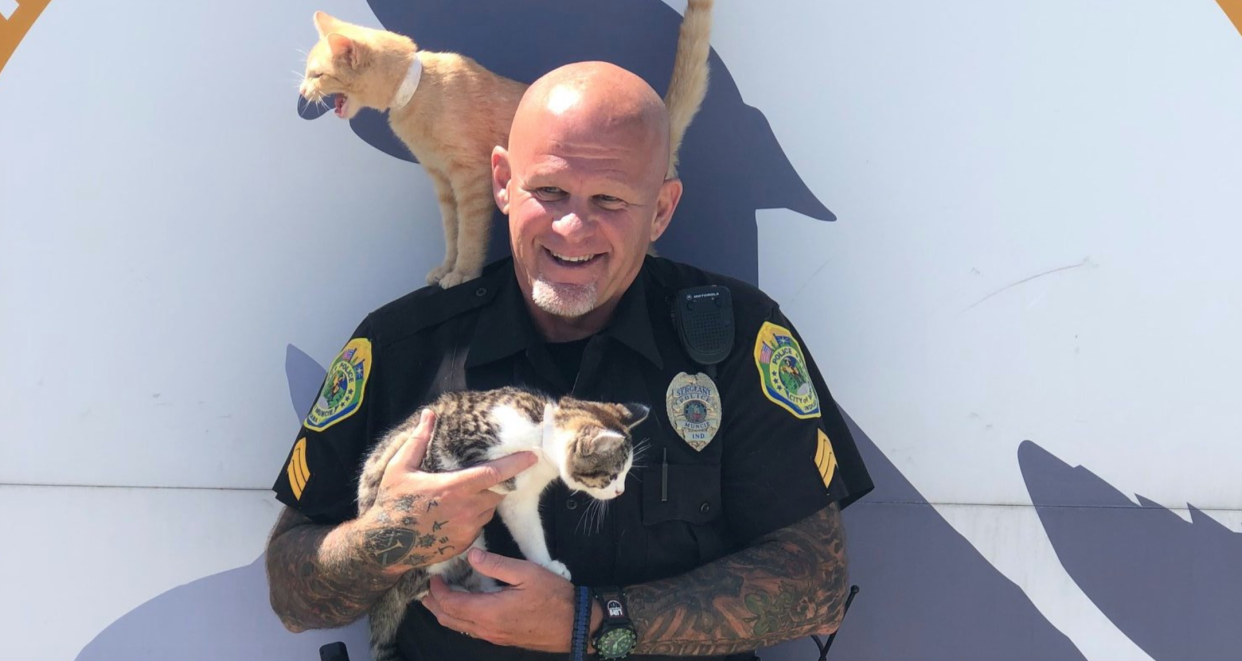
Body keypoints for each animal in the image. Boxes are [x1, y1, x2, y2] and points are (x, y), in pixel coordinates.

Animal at [294, 1, 715, 288]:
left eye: (317, 75)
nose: (301, 93)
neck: (418, 88)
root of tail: (662, 119)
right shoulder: (442, 182)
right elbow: (451, 232)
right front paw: (446, 267)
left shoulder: (470, 178)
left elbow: (469, 233)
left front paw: (463, 272)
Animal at [355, 387, 645, 661]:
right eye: (612, 476)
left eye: (625, 474)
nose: (620, 491)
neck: (539, 434)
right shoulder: (455, 434)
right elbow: (474, 463)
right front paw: (502, 479)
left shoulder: (521, 501)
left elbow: (529, 531)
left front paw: (546, 565)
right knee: (422, 588)